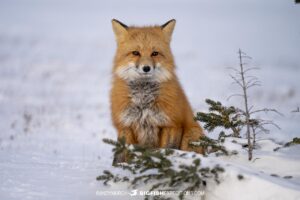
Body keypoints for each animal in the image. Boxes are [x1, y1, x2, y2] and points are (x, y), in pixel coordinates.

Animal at [110, 18, 204, 162]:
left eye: (155, 53)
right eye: (136, 53)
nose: (146, 68)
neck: (143, 101)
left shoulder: (171, 124)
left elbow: (168, 150)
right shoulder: (125, 125)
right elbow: (124, 155)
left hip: (192, 134)